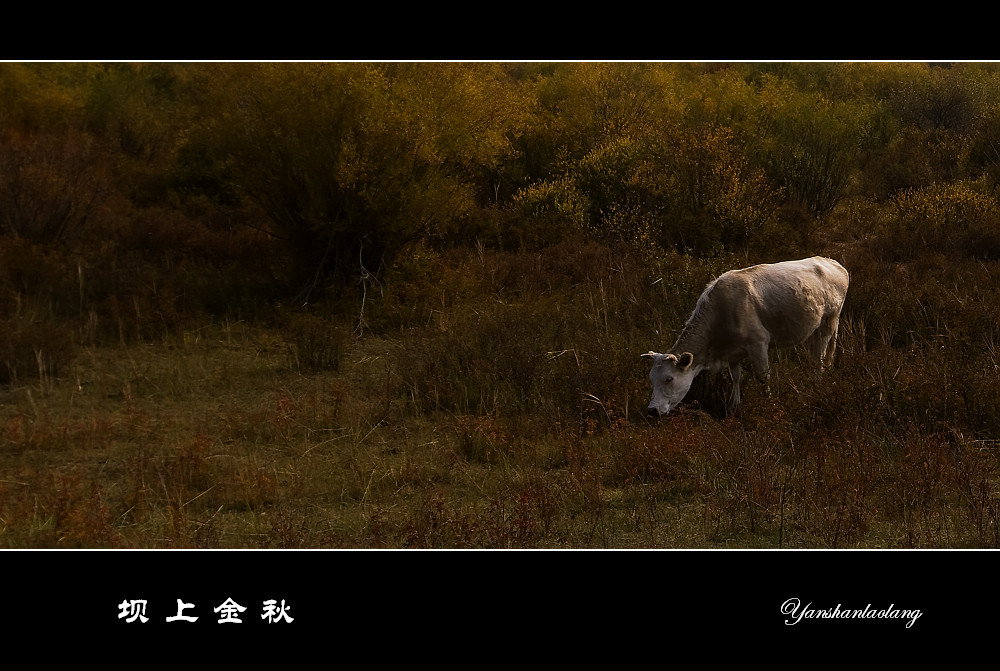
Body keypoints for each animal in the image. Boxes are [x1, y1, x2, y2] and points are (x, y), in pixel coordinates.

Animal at [644, 256, 848, 418]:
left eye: (669, 379)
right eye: (651, 378)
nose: (652, 410)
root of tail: (833, 262)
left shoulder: (758, 343)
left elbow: (764, 376)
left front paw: (769, 405)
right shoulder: (733, 353)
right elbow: (735, 377)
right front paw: (733, 406)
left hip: (829, 321)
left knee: (819, 360)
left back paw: (817, 385)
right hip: (816, 327)